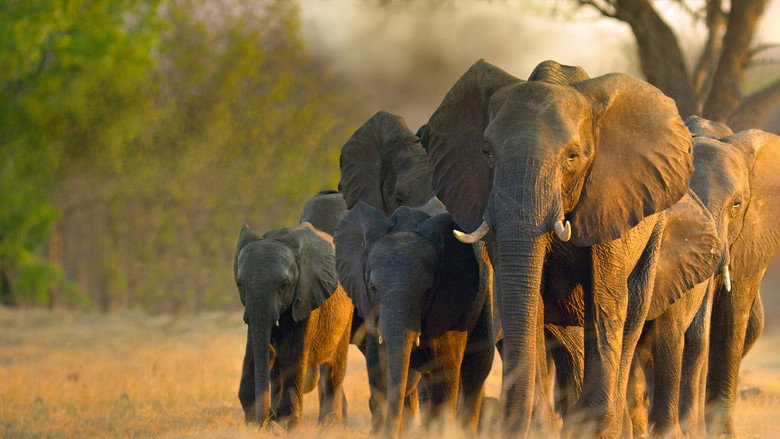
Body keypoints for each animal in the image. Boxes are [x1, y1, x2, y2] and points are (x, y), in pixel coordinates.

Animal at [233, 219, 353, 428]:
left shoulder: (307, 295)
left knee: (333, 371)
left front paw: (285, 425)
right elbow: (255, 352)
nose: (267, 419)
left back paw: (329, 427)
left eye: (284, 285)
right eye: (240, 285)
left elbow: (293, 352)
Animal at [335, 199, 494, 438]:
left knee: (477, 366)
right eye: (373, 288)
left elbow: (445, 369)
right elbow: (379, 369)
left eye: (427, 291)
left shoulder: (450, 302)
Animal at [421, 59, 695, 437]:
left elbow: (605, 301)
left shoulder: (610, 199)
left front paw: (593, 426)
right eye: (486, 154)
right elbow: (525, 300)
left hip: (655, 232)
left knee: (632, 312)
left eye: (573, 157)